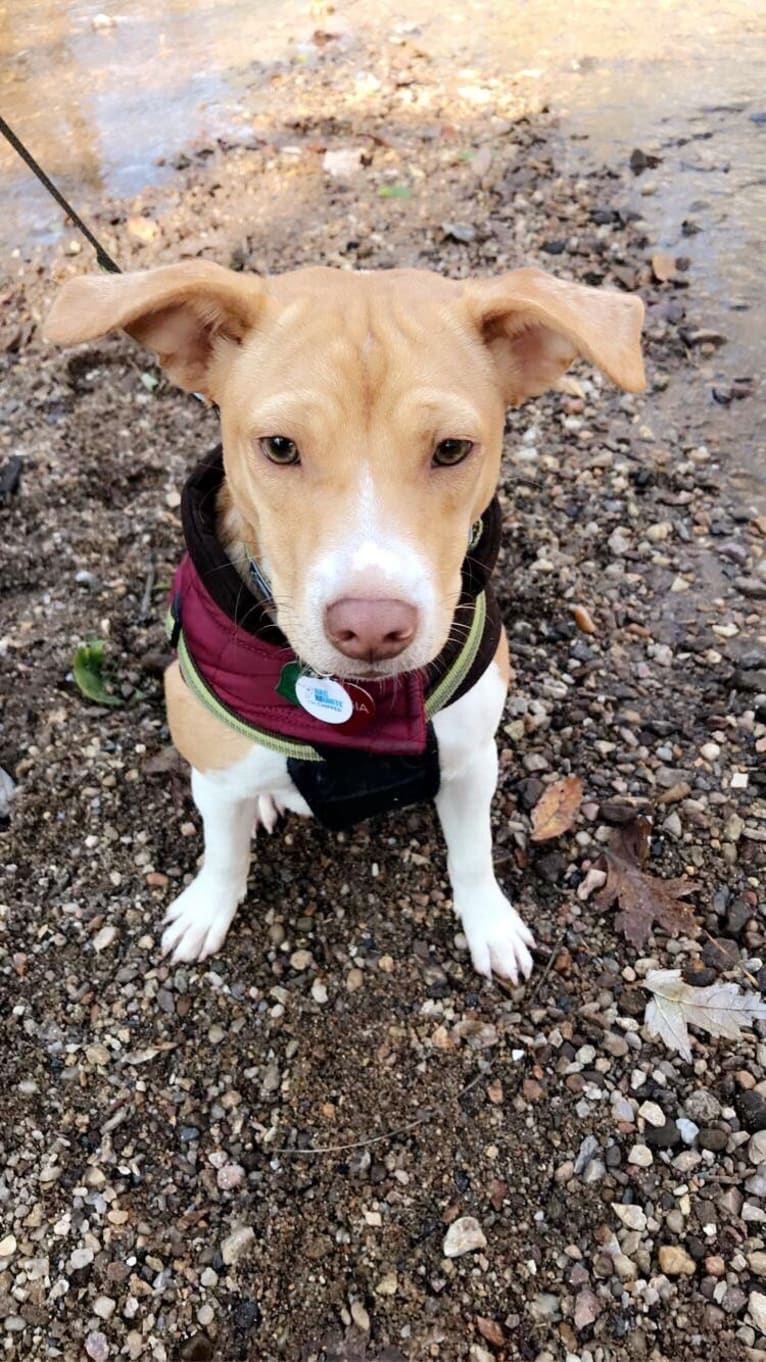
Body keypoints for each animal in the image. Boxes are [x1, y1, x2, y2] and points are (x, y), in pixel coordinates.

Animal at [46, 260, 643, 980]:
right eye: (279, 447)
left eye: (452, 449)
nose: (373, 628)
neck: (358, 713)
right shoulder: (214, 774)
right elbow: (223, 853)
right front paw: (207, 908)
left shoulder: (473, 759)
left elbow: (472, 854)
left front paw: (491, 924)